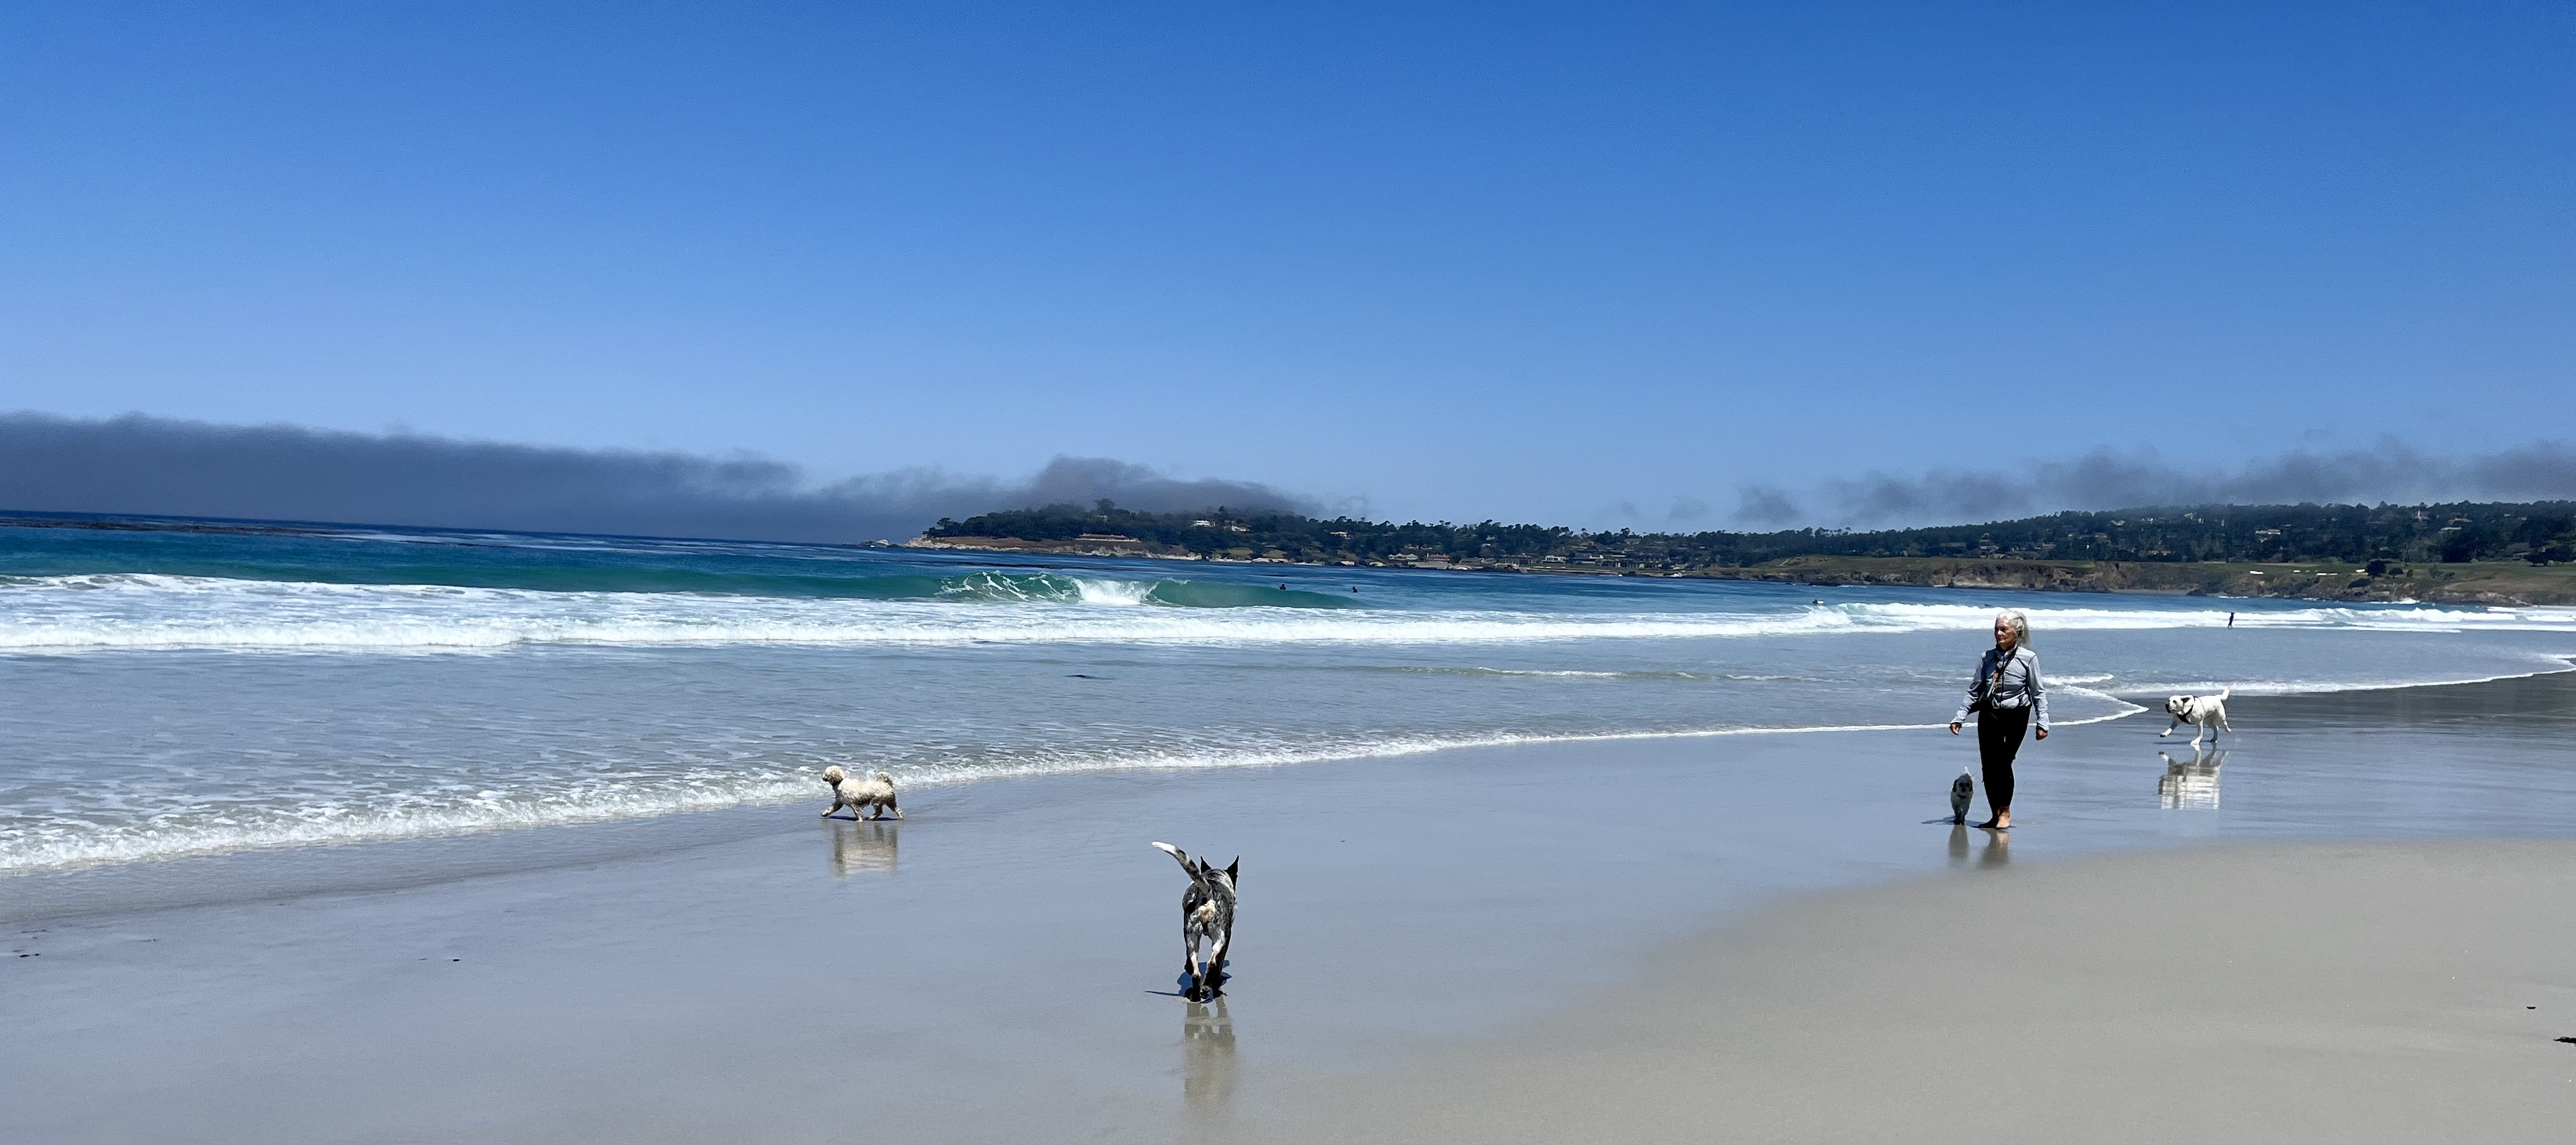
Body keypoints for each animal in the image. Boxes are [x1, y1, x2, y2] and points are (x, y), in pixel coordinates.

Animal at [819, 765, 902, 820]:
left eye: (826, 773)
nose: (822, 778)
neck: (840, 781)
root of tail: (887, 783)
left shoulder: (853, 803)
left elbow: (857, 812)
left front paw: (860, 820)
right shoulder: (839, 801)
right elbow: (832, 808)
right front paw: (825, 813)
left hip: (877, 800)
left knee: (880, 811)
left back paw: (872, 817)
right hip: (889, 801)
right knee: (897, 810)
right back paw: (900, 817)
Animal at [1152, 841, 1237, 1002]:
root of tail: (1207, 893)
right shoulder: (1227, 937)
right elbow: (1220, 963)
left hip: (1191, 936)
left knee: (1196, 973)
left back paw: (1196, 995)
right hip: (1219, 937)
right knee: (1212, 964)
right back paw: (1208, 988)